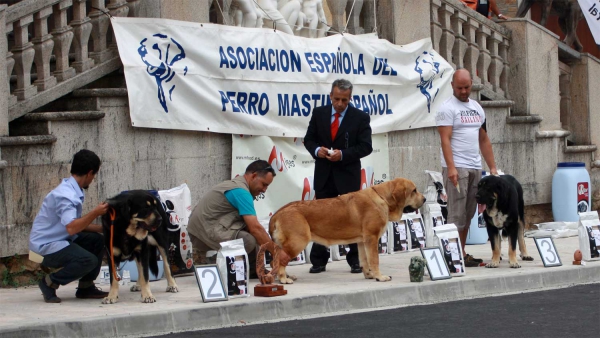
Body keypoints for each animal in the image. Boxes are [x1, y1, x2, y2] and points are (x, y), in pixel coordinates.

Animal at [272, 178, 426, 284]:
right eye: (414, 191)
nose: (424, 199)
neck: (383, 198)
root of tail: (279, 212)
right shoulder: (372, 238)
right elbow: (374, 260)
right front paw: (380, 277)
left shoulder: (362, 241)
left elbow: (364, 261)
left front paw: (369, 275)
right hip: (297, 242)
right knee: (279, 260)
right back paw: (284, 279)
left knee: (278, 260)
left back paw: (285, 276)